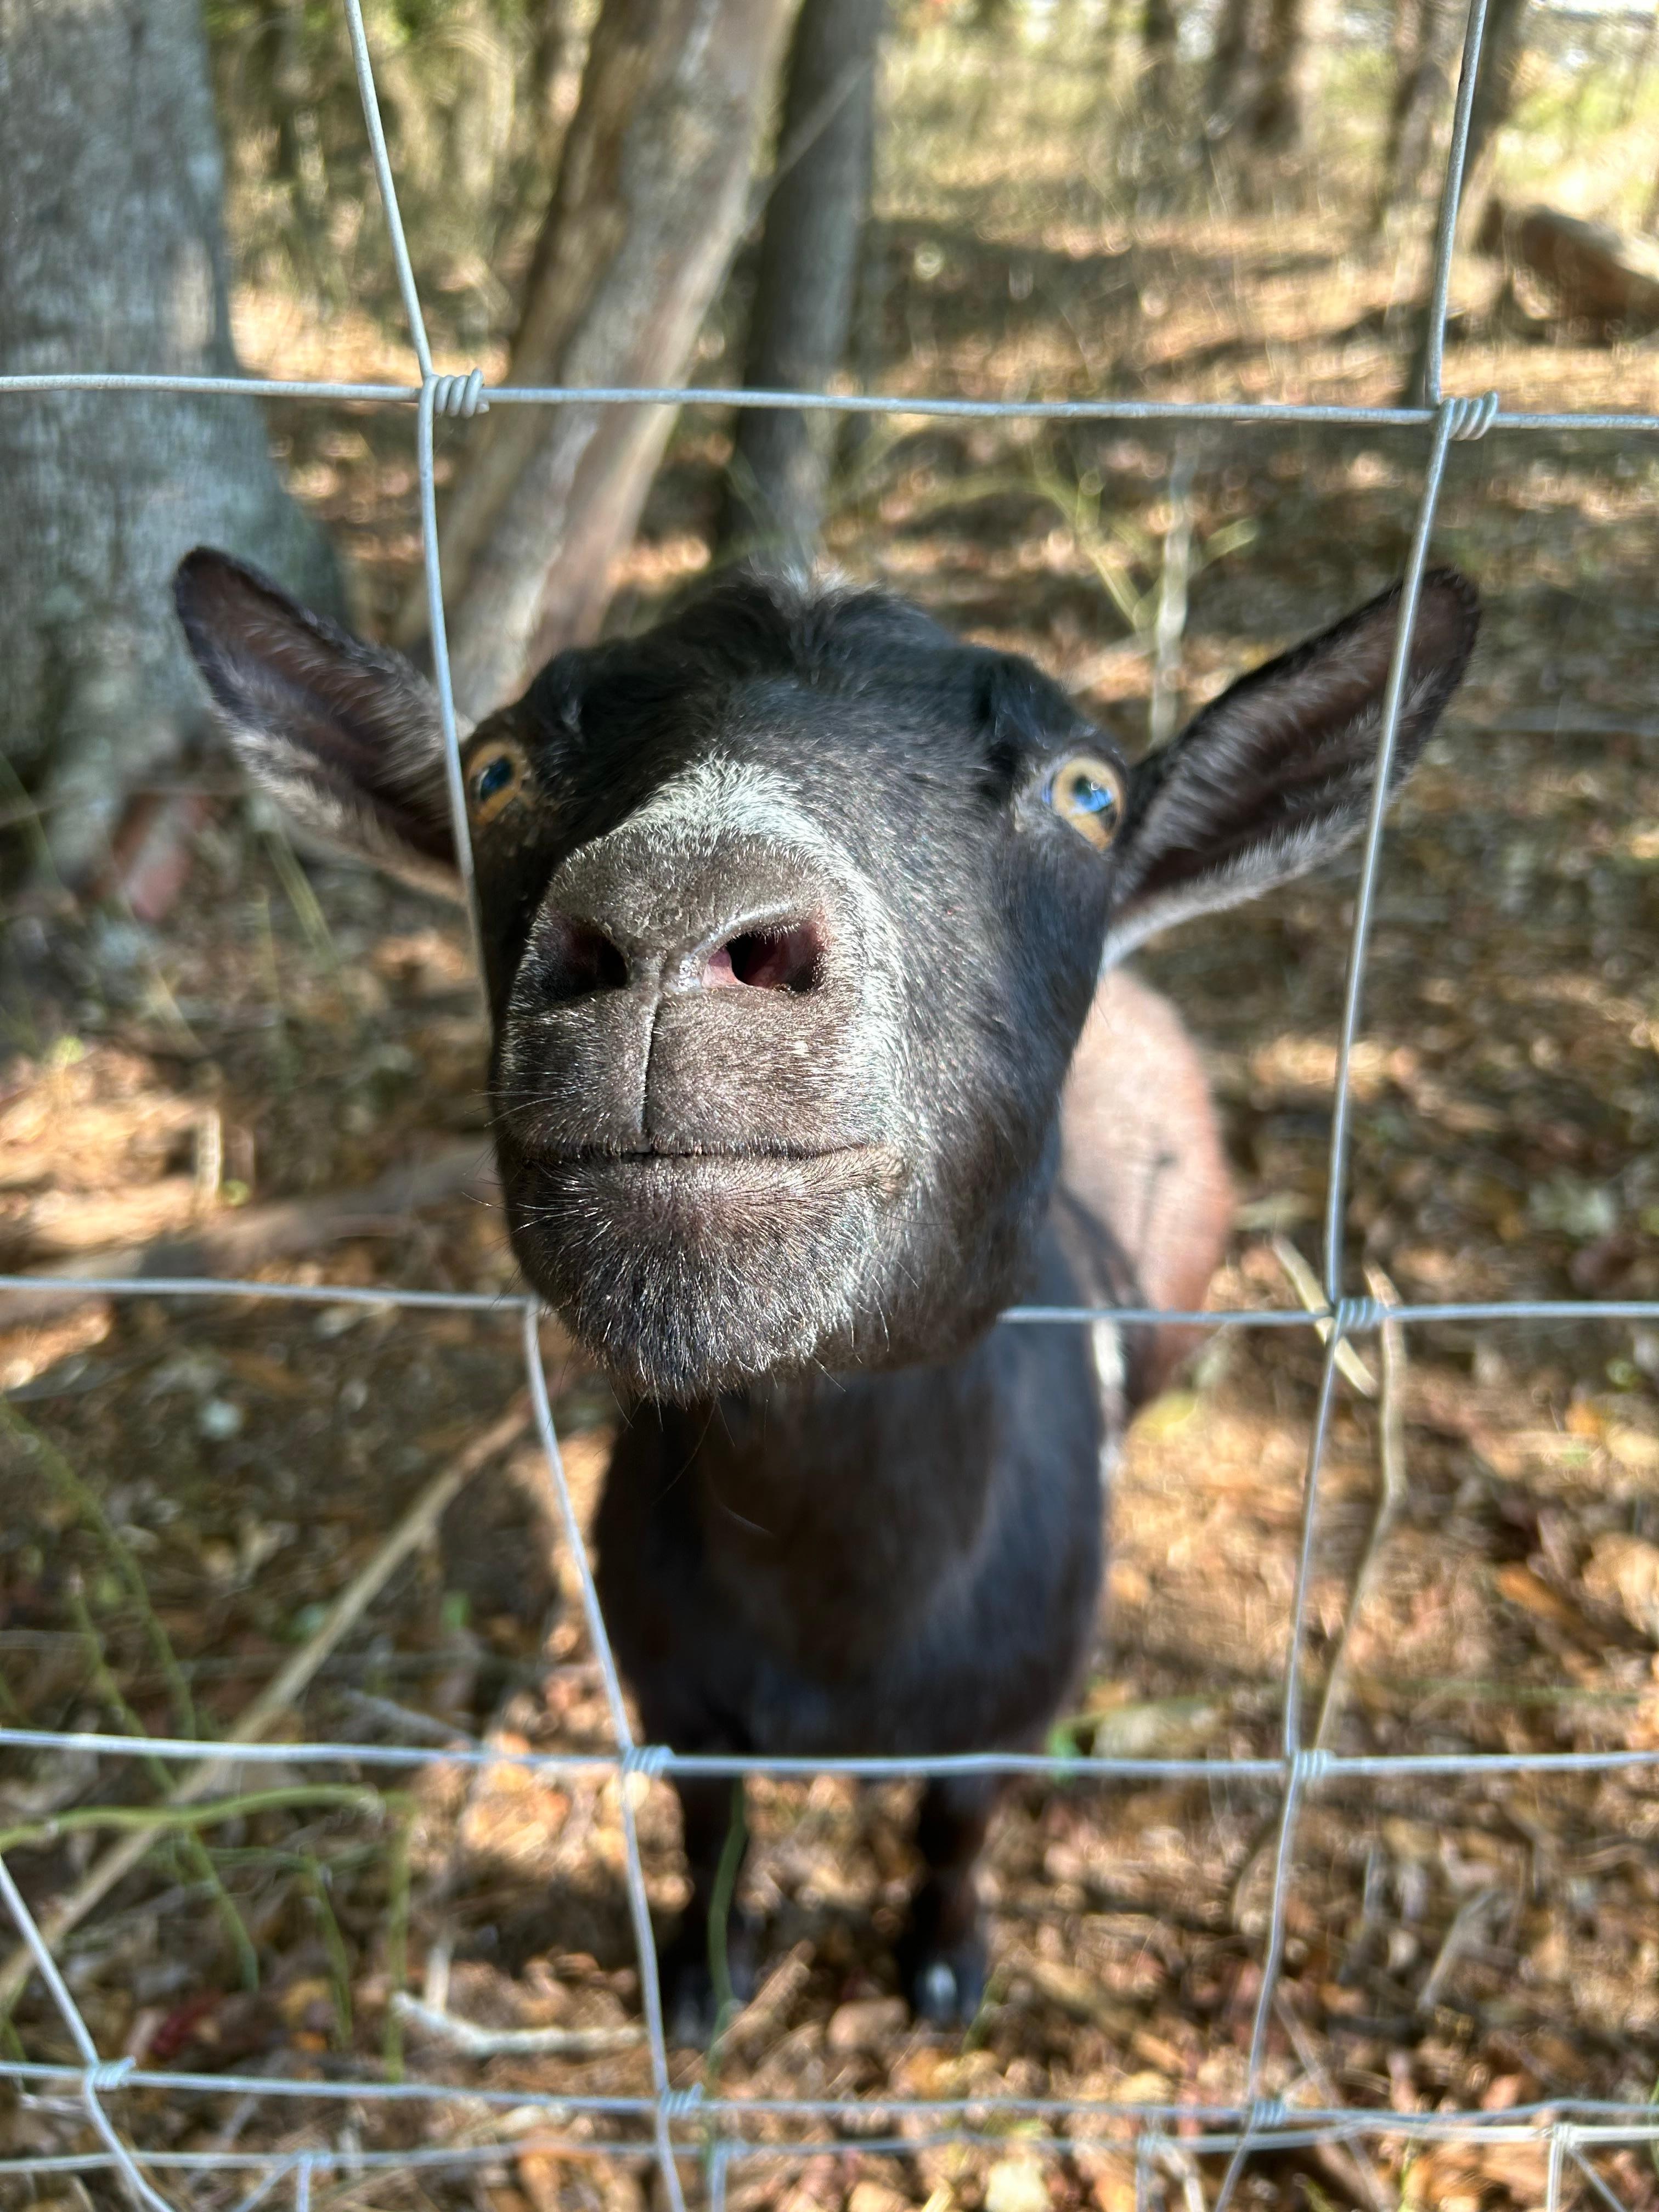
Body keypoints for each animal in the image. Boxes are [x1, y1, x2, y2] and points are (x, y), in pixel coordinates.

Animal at [174, 550, 1478, 2032]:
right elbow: (712, 1832)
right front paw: (698, 1977)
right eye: (494, 773)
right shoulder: (678, 1697)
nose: (680, 910)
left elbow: (954, 1832)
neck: (841, 1613)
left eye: (1087, 796)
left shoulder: (1006, 1713)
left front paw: (946, 1966)